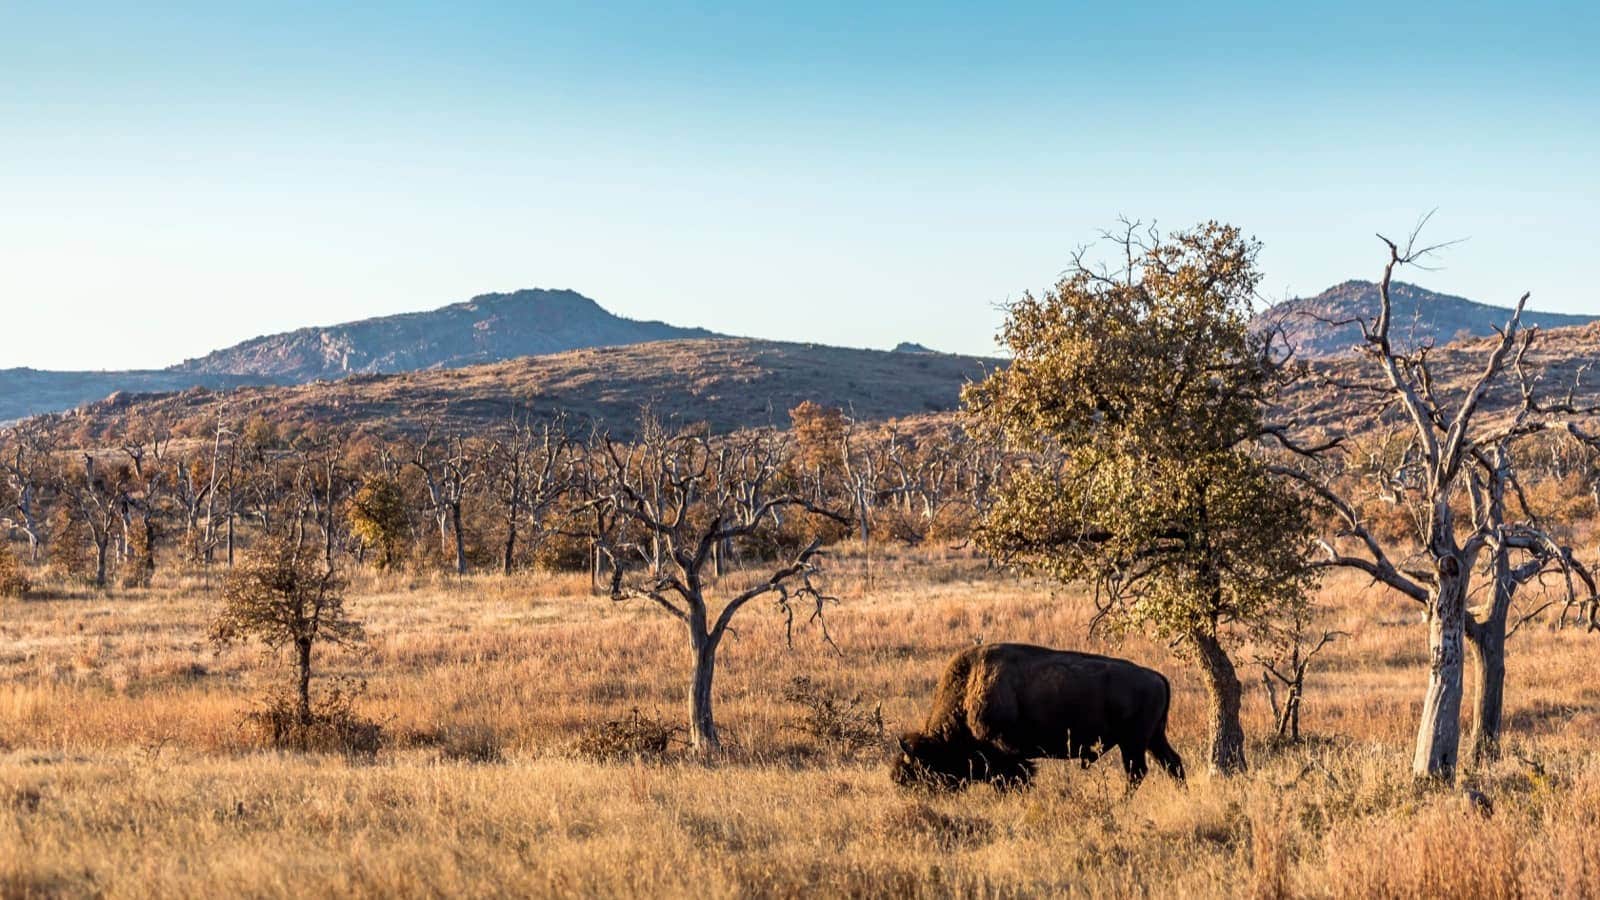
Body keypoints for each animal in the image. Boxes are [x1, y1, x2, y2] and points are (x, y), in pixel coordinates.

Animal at [893, 643, 1184, 790]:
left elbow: (1016, 777)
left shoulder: (1008, 753)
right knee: (1172, 764)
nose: (905, 789)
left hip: (1133, 742)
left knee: (1137, 773)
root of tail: (1156, 676)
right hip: (1152, 739)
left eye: (918, 768)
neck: (969, 691)